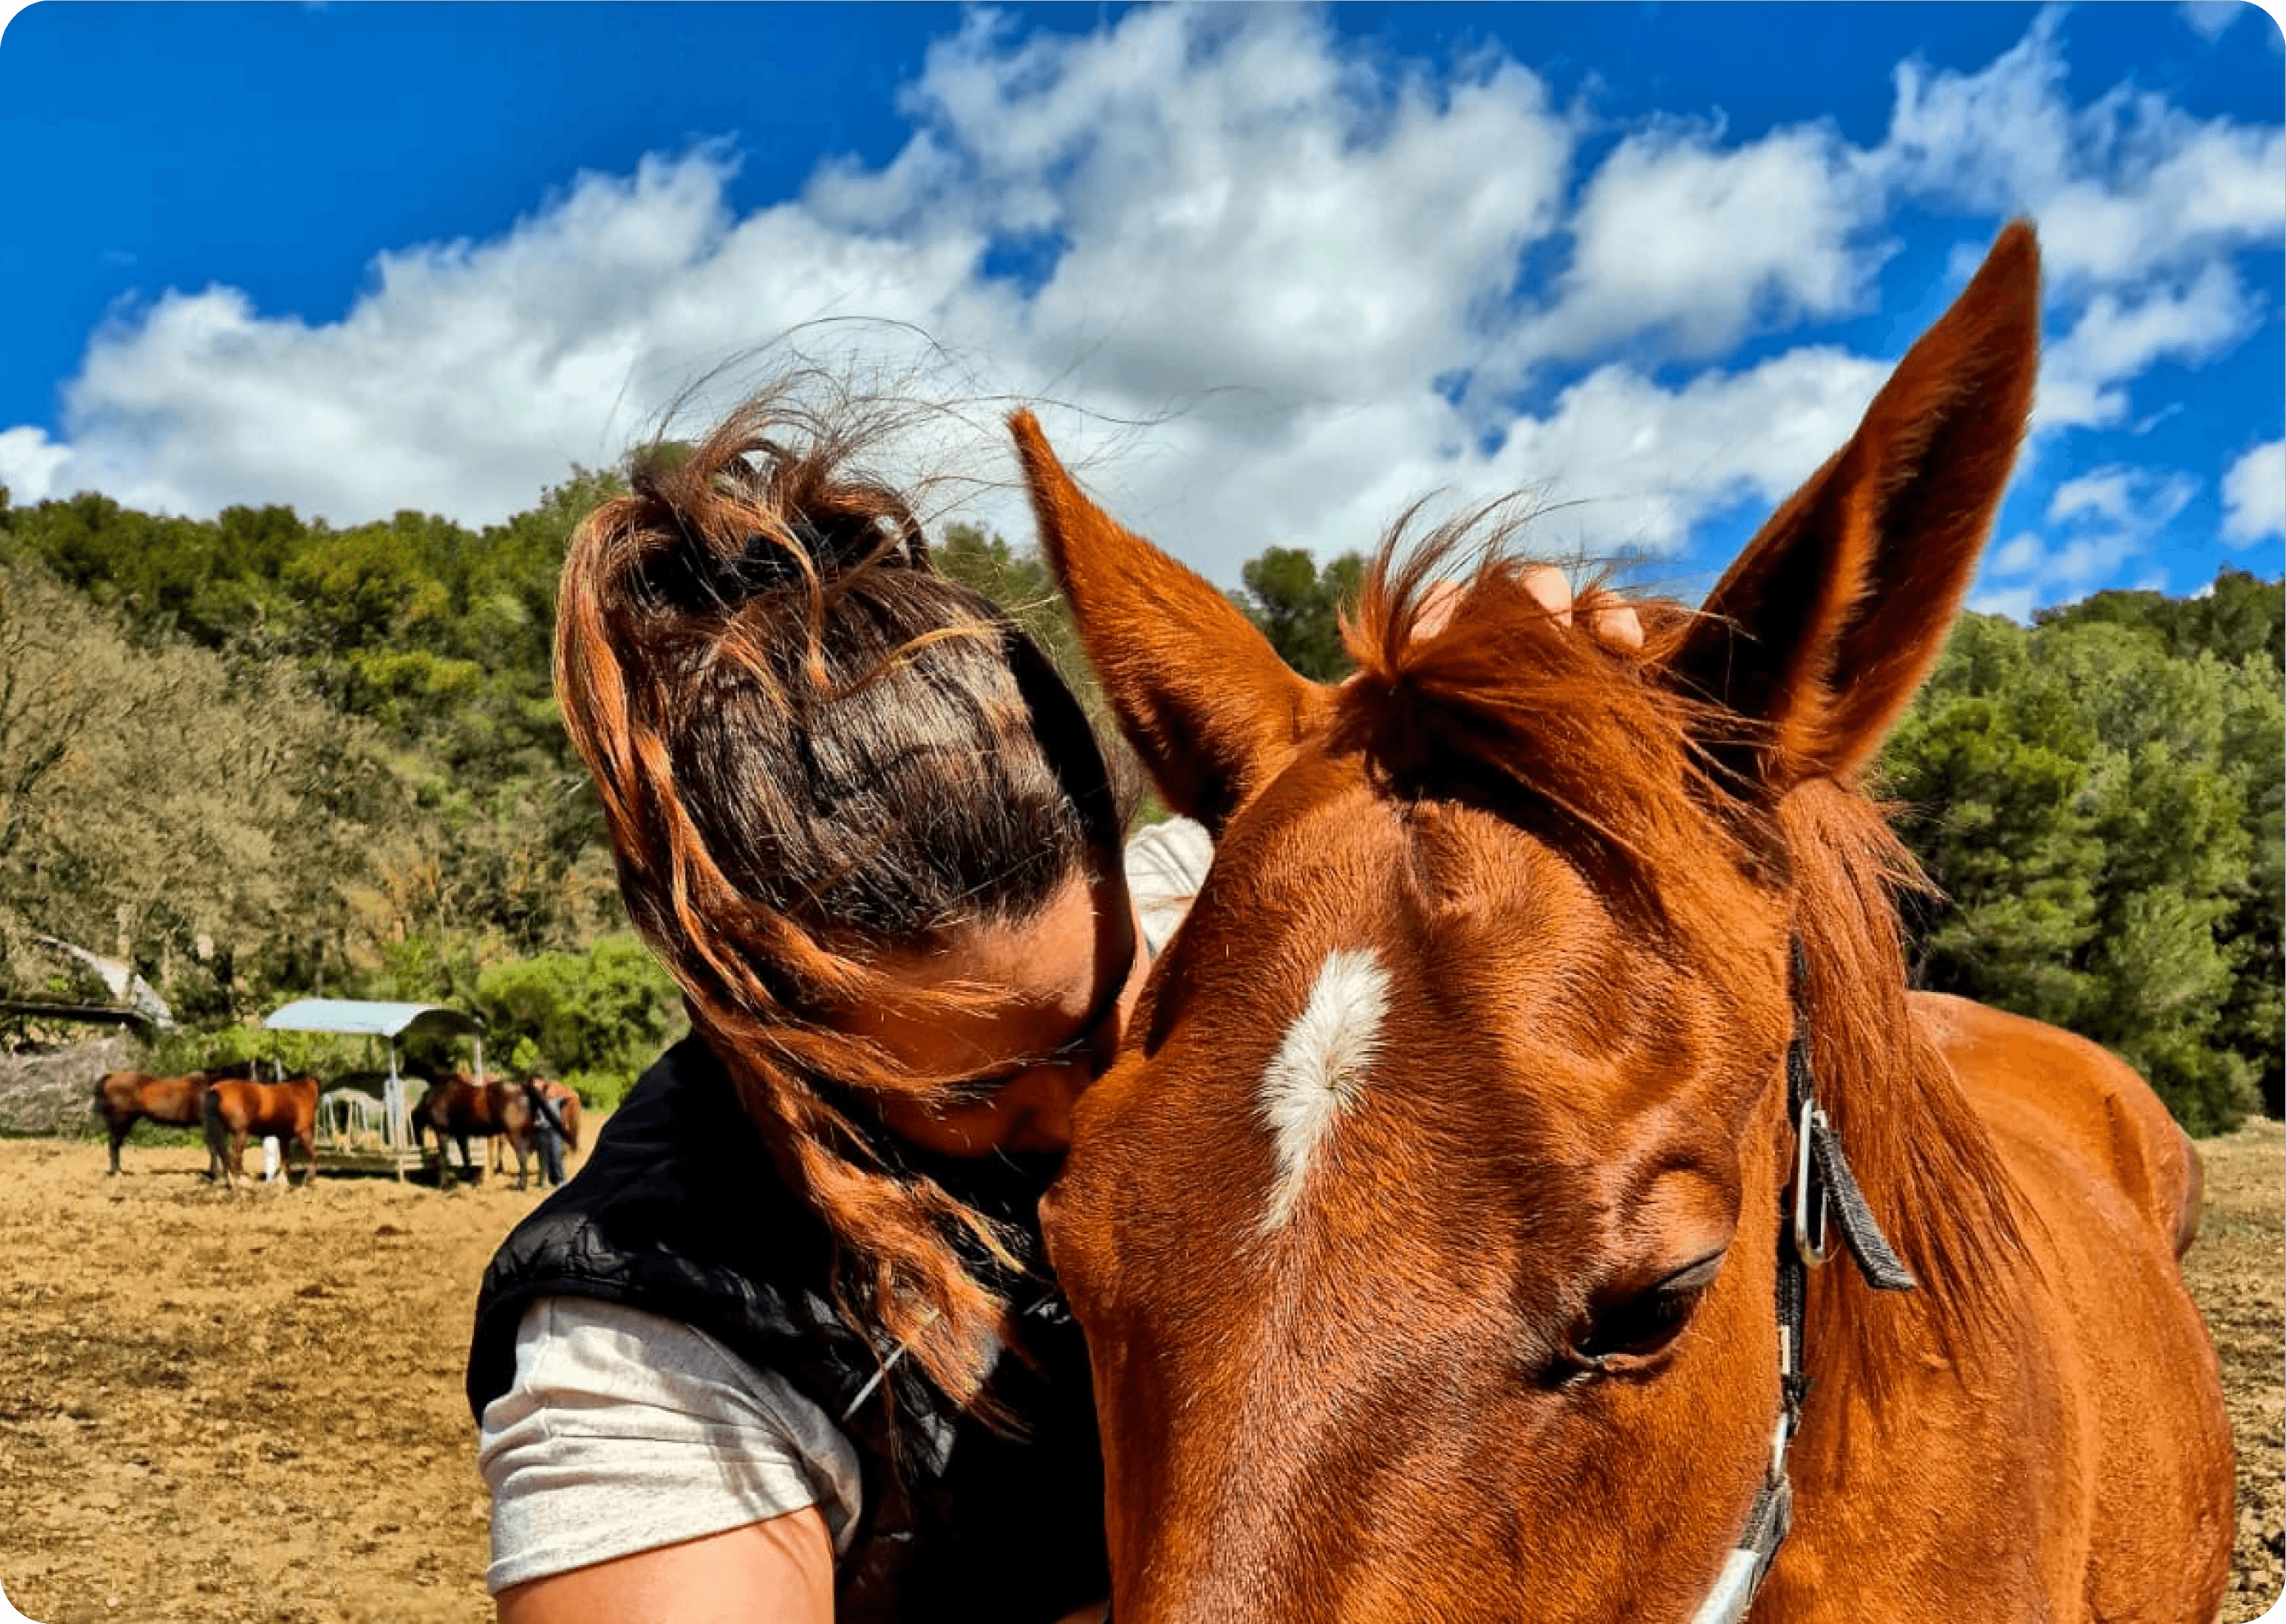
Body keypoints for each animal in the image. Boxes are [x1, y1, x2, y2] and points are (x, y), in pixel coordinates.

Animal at [202, 1074, 321, 1188]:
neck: (302, 1093)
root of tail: (216, 1090)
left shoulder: (284, 1136)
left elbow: (285, 1158)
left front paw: (282, 1182)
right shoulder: (304, 1132)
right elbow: (312, 1155)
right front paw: (309, 1179)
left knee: (219, 1152)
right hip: (241, 1133)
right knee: (233, 1154)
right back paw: (241, 1181)